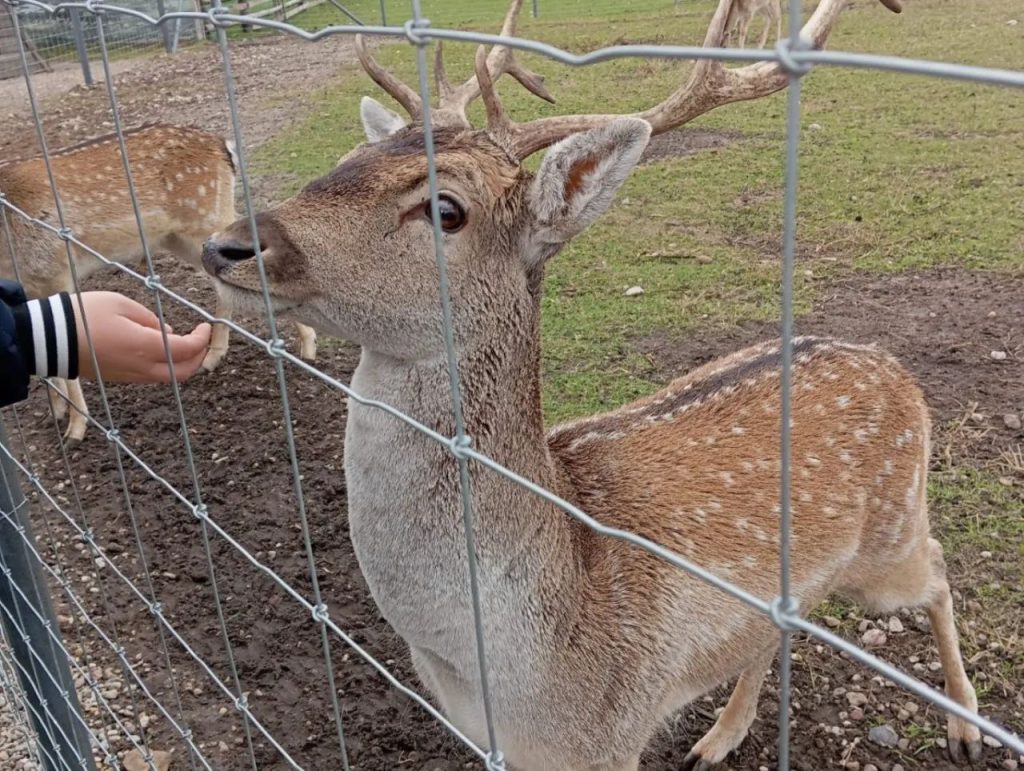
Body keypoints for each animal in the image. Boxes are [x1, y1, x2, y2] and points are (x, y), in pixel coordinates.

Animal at [197, 3, 983, 765]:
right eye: (343, 161)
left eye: (445, 209)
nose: (227, 245)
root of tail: (891, 365)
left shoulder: (614, 734)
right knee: (780, 626)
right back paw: (719, 737)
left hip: (890, 544)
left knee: (940, 569)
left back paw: (966, 725)